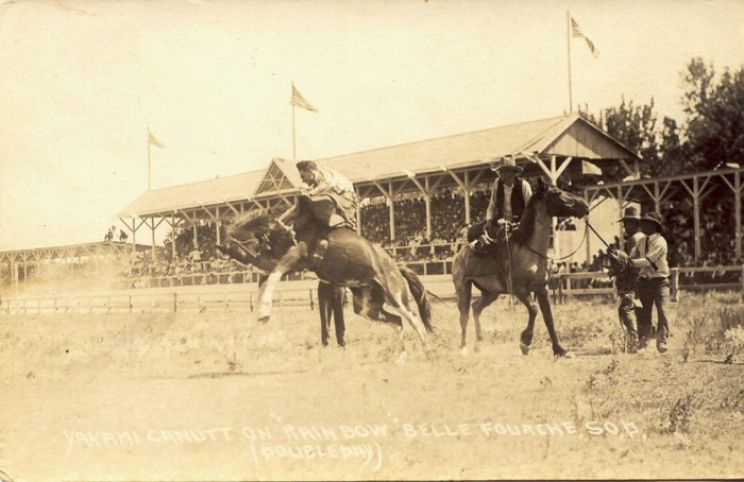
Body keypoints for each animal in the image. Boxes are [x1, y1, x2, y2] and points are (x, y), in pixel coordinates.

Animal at [218, 195, 434, 358]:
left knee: (413, 318)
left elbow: (274, 275)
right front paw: (261, 311)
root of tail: (397, 267)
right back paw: (401, 358)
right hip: (366, 307)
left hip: (395, 295)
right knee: (397, 322)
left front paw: (263, 313)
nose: (252, 262)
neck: (287, 229)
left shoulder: (295, 255)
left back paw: (428, 351)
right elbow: (268, 278)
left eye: (239, 250)